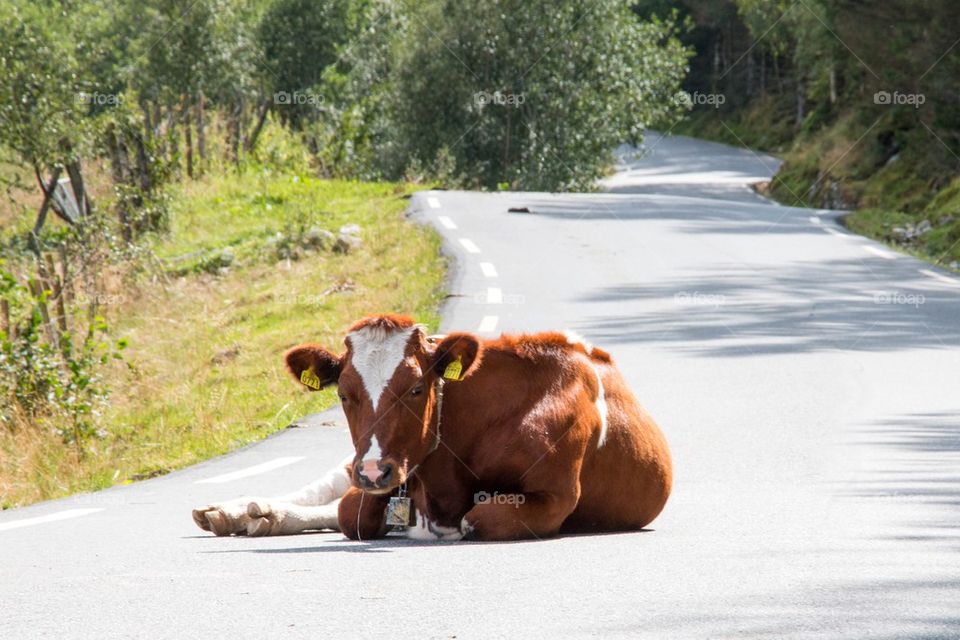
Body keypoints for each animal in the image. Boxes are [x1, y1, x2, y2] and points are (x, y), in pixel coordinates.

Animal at [192, 314, 672, 541]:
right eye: (343, 394)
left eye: (417, 388)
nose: (375, 471)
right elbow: (351, 513)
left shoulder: (556, 496)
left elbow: (477, 519)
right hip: (349, 462)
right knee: (322, 496)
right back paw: (238, 511)